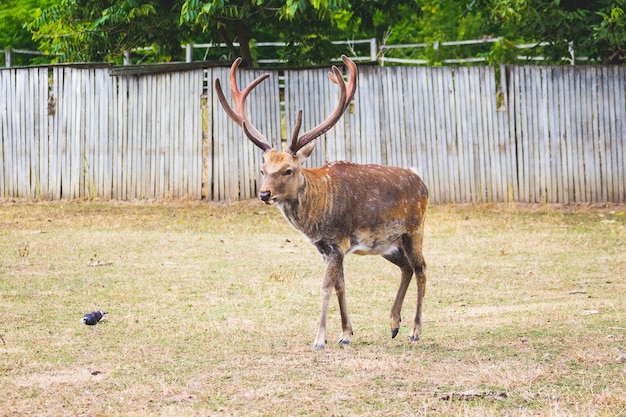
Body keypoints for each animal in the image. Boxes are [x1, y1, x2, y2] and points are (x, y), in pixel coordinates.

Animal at [212, 54, 426, 348]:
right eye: (262, 169)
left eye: (288, 170)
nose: (264, 194)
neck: (317, 217)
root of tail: (422, 182)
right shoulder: (326, 248)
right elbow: (340, 286)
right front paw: (346, 334)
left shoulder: (337, 242)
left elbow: (325, 288)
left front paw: (320, 338)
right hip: (387, 244)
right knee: (406, 267)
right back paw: (394, 323)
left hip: (414, 230)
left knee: (421, 268)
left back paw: (415, 331)